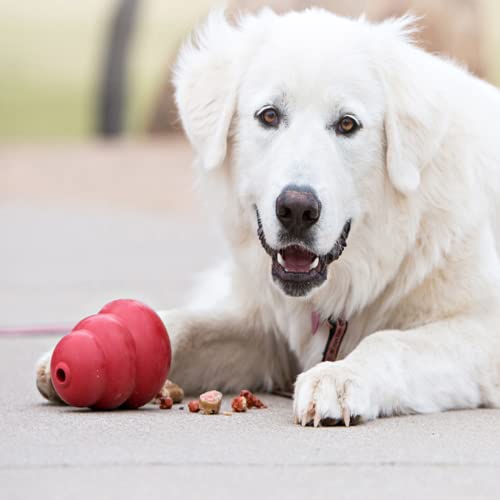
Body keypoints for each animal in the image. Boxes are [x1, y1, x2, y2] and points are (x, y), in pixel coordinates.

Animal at [37, 7, 500, 426]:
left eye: (348, 125)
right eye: (270, 116)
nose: (296, 209)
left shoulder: (481, 331)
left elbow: (391, 342)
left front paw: (339, 377)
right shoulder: (268, 336)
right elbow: (188, 325)